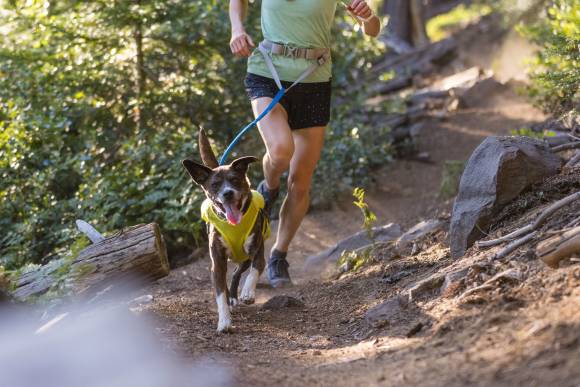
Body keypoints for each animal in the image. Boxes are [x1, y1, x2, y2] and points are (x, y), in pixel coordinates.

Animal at [181, 130, 270, 334]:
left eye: (235, 180)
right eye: (215, 185)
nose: (227, 193)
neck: (233, 225)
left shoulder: (257, 251)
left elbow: (256, 268)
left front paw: (247, 292)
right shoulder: (217, 262)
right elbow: (220, 293)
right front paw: (224, 321)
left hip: (244, 258)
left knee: (238, 272)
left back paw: (237, 295)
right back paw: (231, 300)